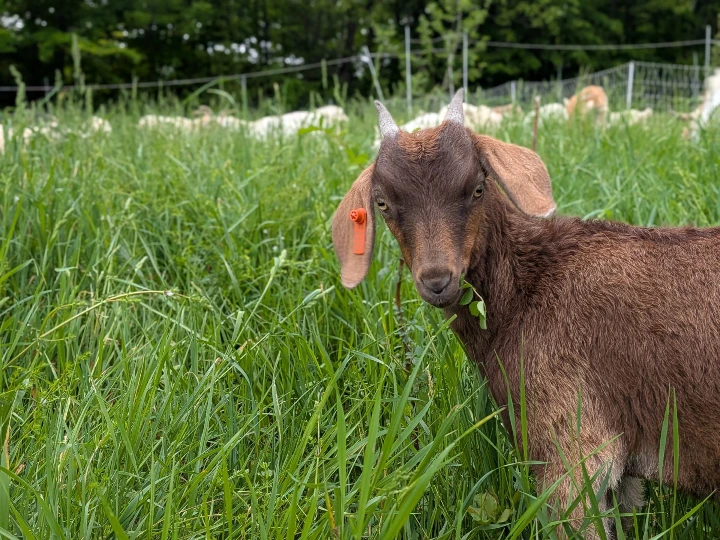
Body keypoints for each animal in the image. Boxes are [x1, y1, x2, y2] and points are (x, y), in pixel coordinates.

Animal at [332, 89, 720, 538]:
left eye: (477, 187)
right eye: (382, 203)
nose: (437, 280)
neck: (529, 286)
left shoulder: (571, 444)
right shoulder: (623, 473)